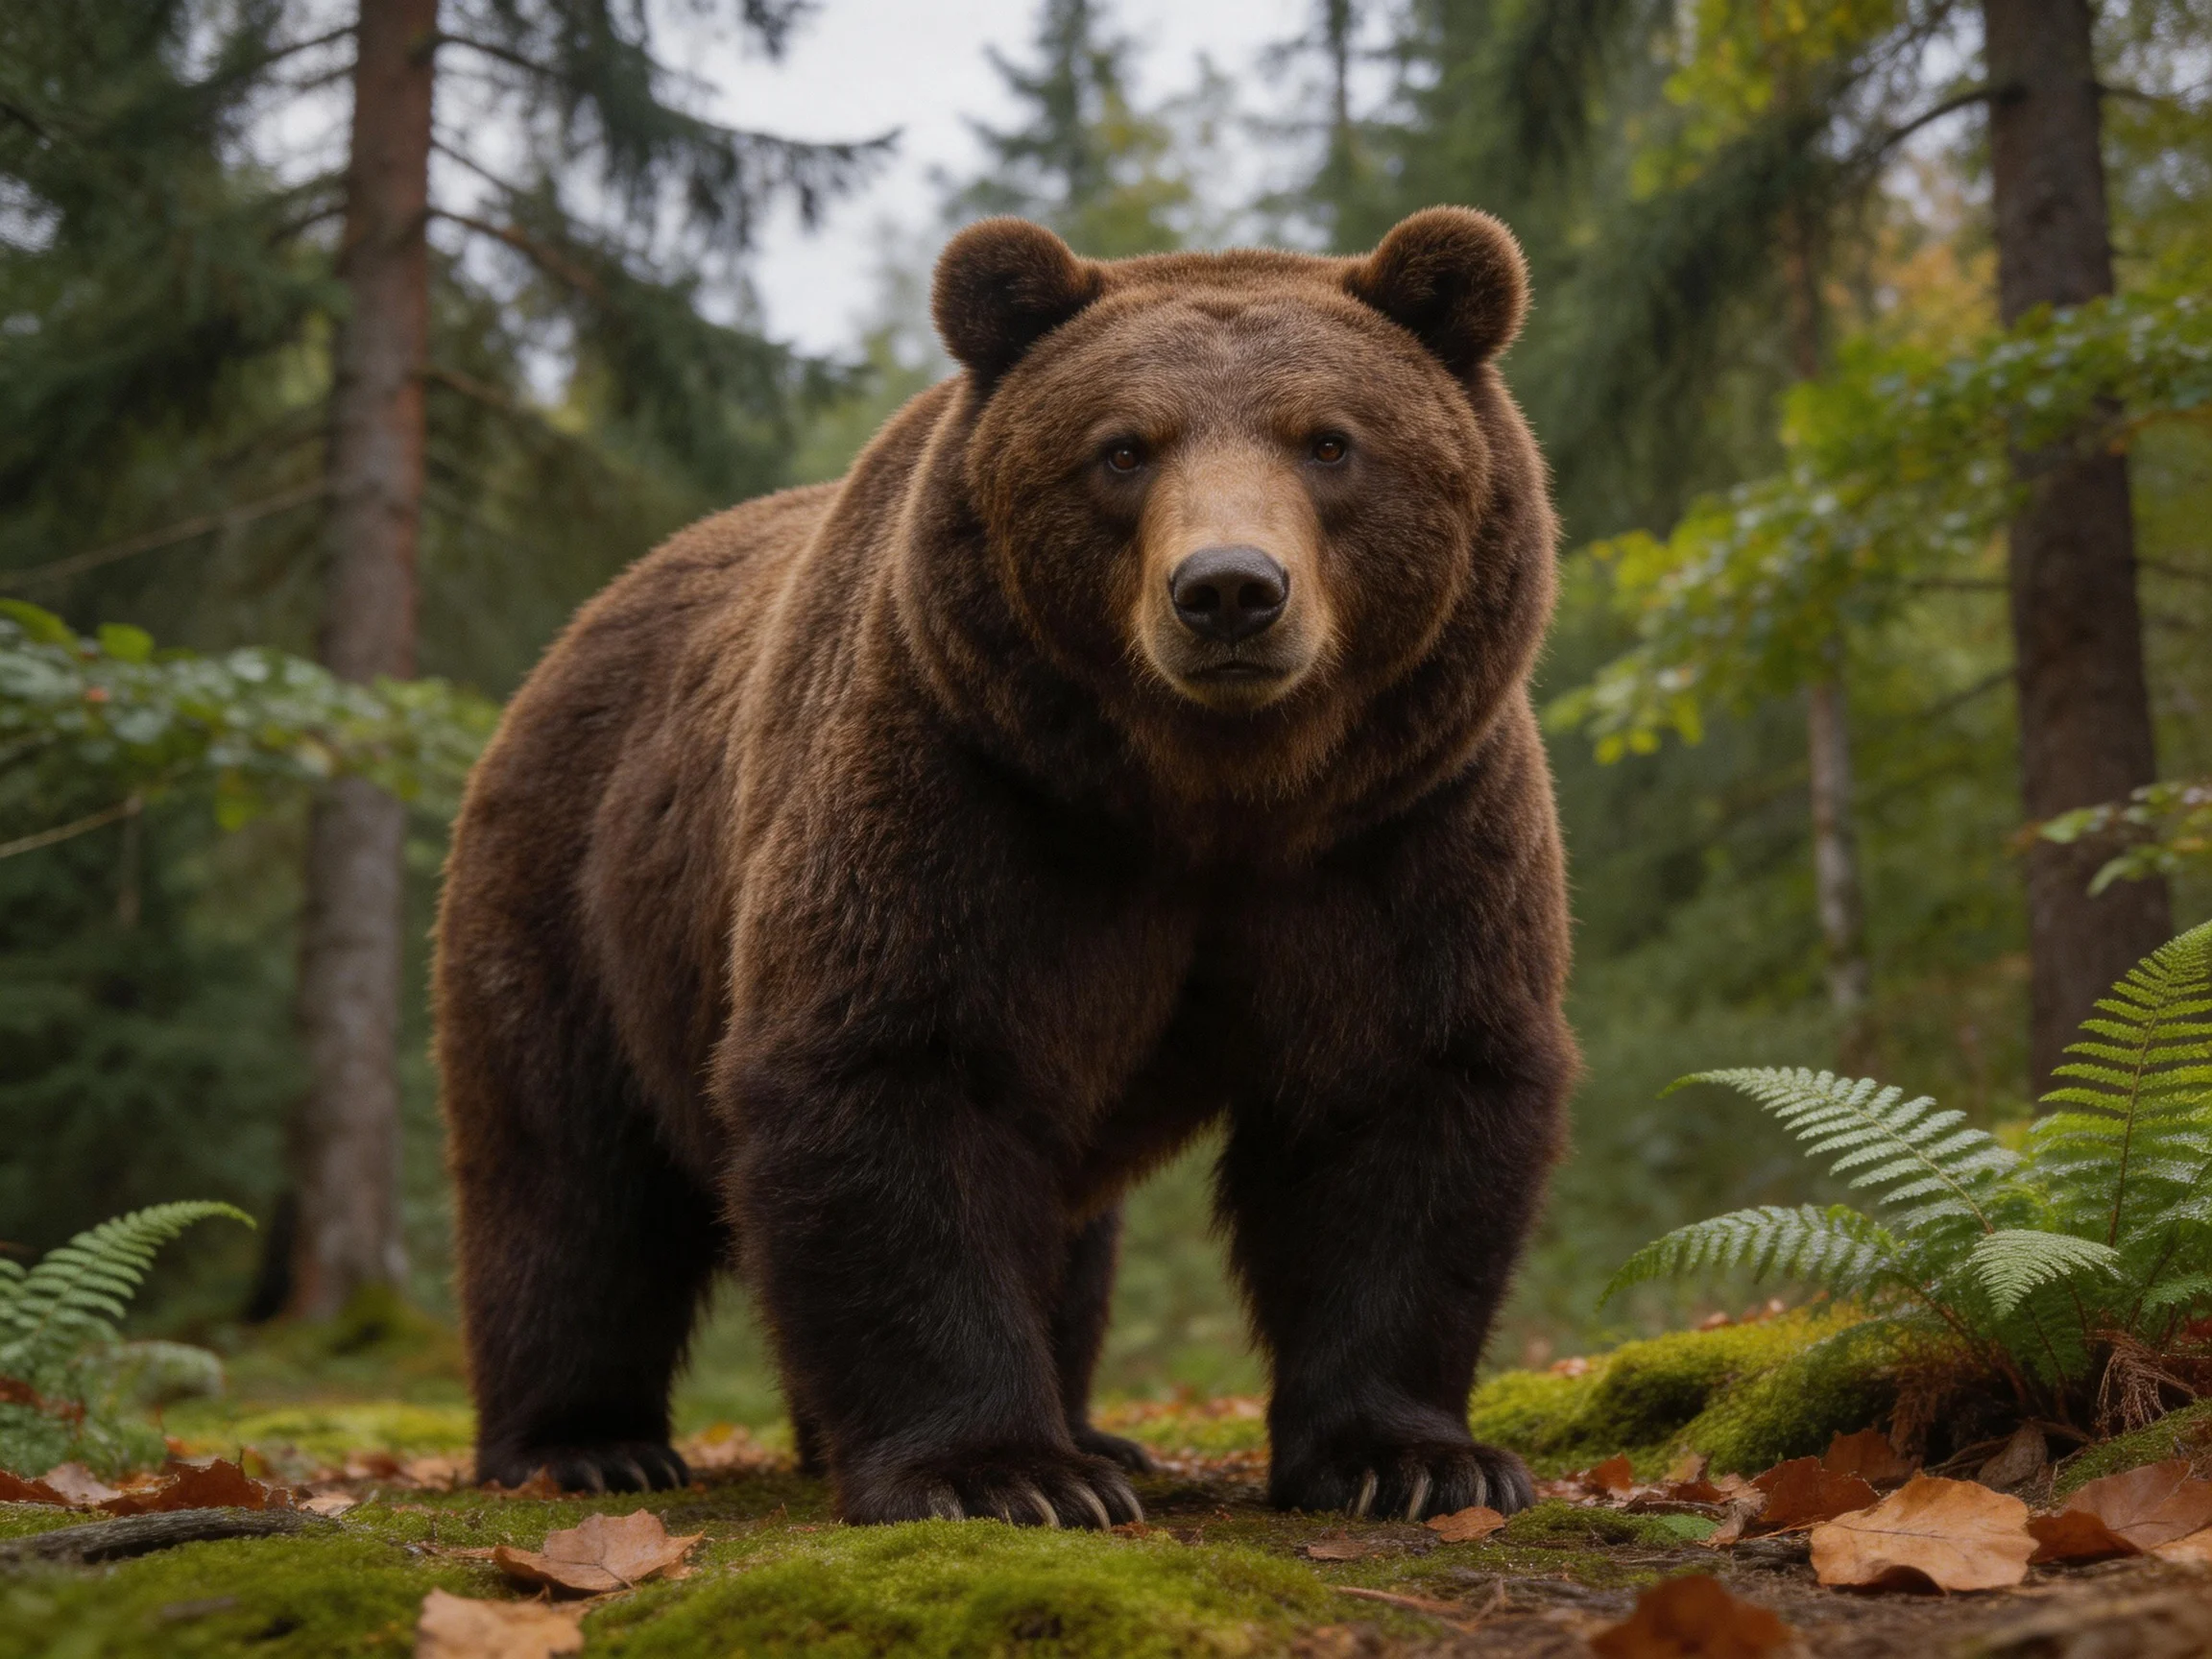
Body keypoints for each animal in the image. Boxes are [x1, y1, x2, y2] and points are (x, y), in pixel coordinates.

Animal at [433, 206, 1577, 1528]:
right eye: (1123, 449)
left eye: (1330, 441)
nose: (1230, 589)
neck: (1209, 799)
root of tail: (573, 636)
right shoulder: (964, 791)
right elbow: (900, 1071)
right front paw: (1002, 1474)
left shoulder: (1405, 824)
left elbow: (1407, 1089)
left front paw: (1415, 1459)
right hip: (576, 886)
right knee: (570, 1176)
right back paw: (584, 1442)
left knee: (1071, 1226)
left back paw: (1071, 1426)